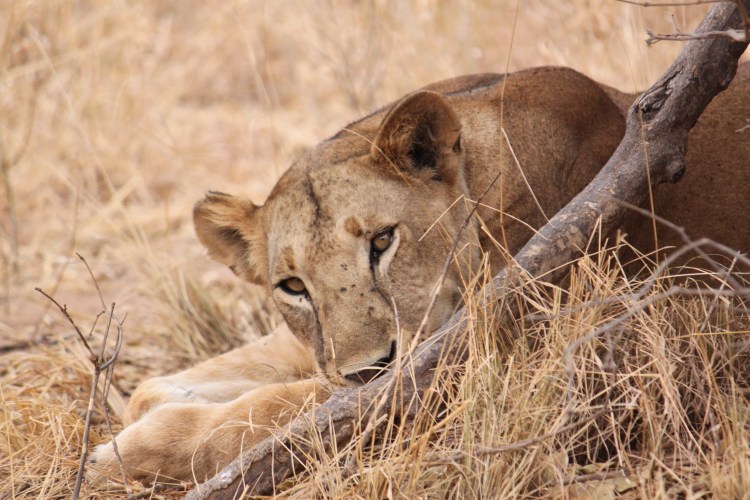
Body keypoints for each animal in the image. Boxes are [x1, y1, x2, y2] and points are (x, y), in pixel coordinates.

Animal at [90, 64, 750, 483]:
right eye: (293, 286)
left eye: (383, 241)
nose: (369, 371)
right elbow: (199, 384)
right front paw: (162, 399)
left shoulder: (480, 371)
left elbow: (273, 419)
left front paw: (130, 449)